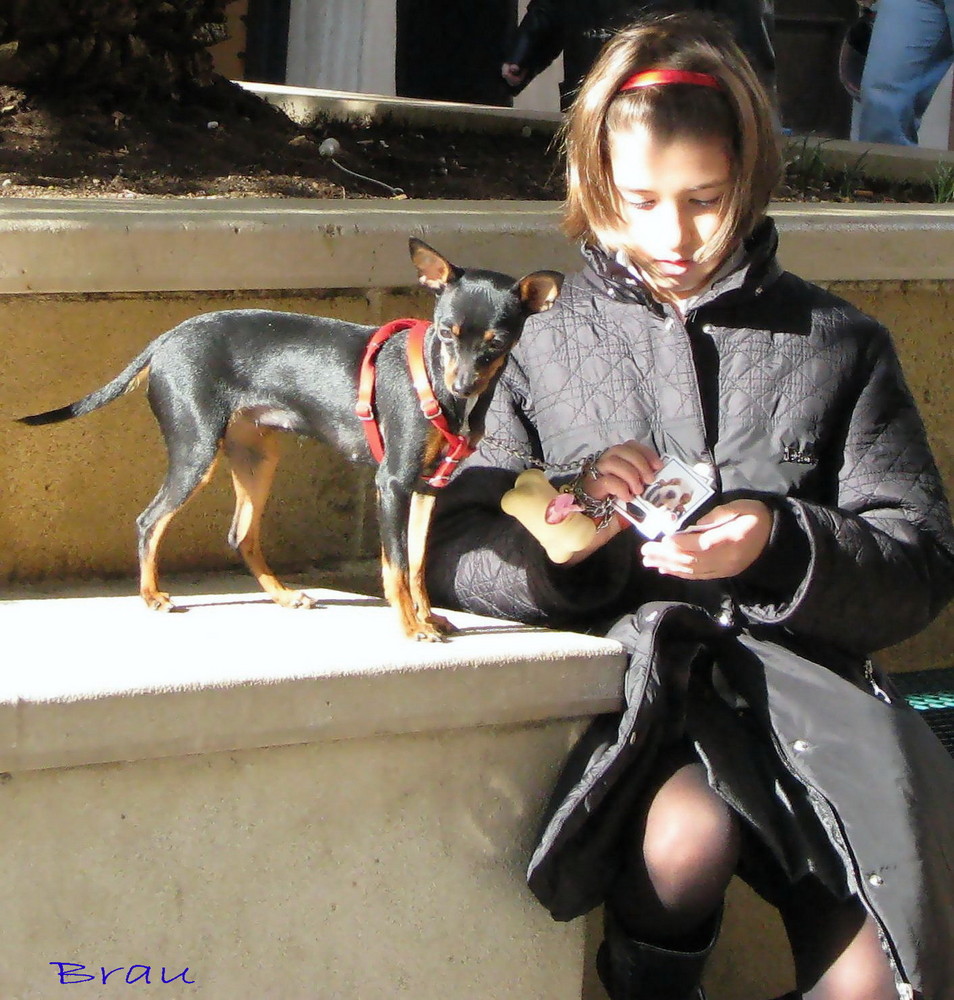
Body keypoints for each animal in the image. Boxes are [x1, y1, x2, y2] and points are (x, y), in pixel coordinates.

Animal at [18, 238, 560, 636]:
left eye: (496, 344)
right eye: (445, 333)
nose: (461, 384)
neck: (436, 382)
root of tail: (165, 340)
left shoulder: (427, 489)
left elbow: (420, 562)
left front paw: (428, 616)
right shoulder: (393, 483)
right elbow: (397, 567)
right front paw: (410, 626)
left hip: (257, 457)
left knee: (241, 533)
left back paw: (281, 594)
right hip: (197, 452)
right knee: (150, 520)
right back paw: (152, 596)